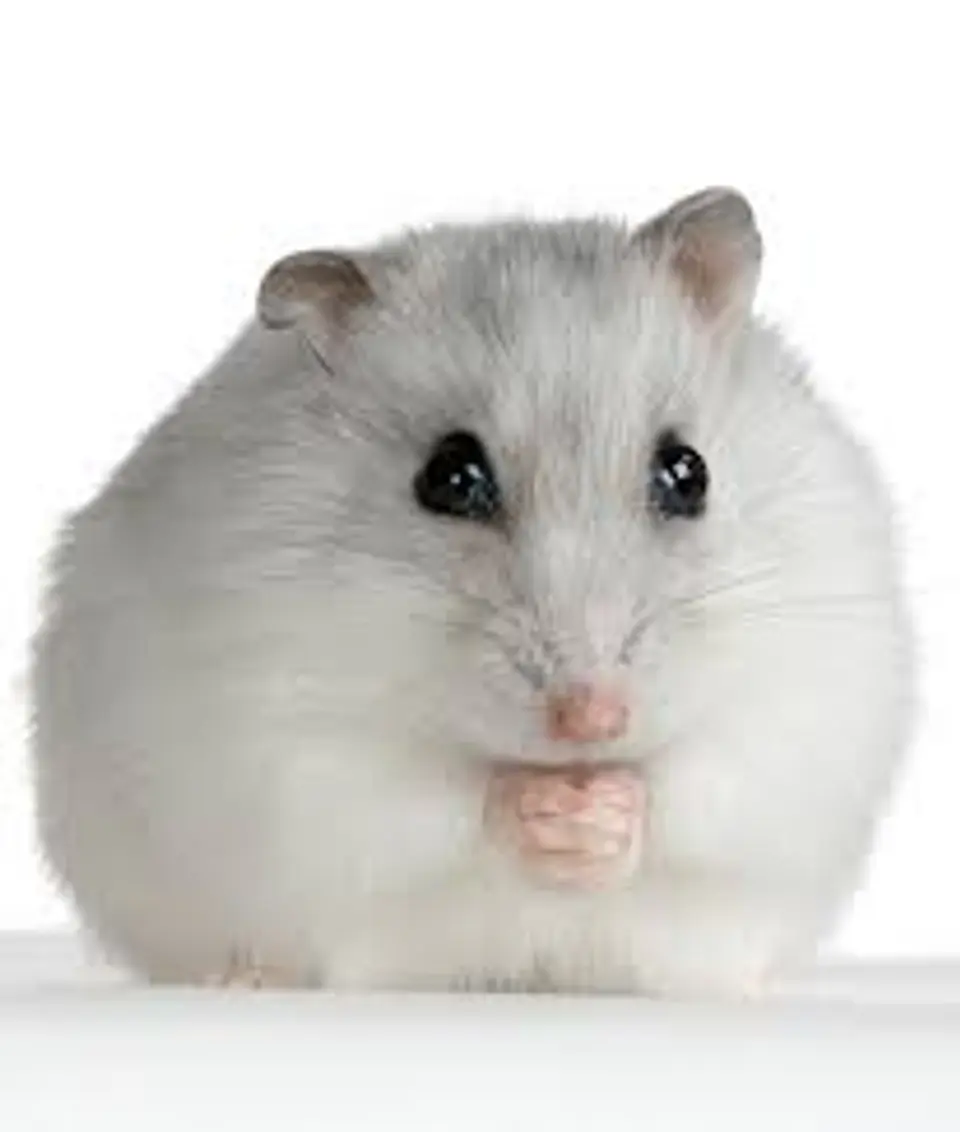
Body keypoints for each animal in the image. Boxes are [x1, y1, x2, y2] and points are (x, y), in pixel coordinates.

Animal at [30, 188, 914, 995]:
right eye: (449, 477)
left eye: (687, 472)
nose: (593, 719)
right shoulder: (298, 744)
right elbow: (452, 801)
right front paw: (549, 812)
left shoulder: (796, 721)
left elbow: (682, 794)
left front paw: (599, 814)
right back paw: (244, 979)